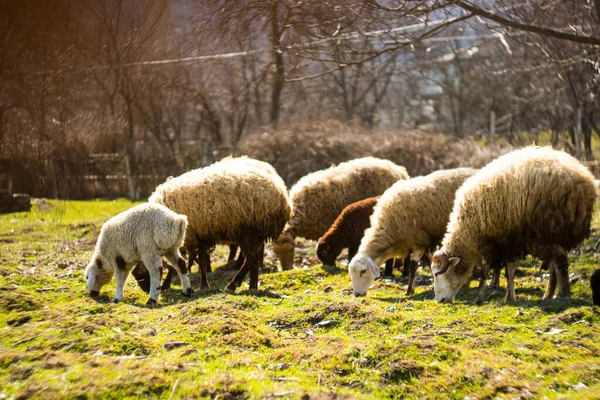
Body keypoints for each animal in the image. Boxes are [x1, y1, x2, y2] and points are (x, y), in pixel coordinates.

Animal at [149, 156, 292, 290]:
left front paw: (167, 284)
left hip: (249, 231)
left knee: (251, 259)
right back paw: (249, 286)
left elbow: (177, 264)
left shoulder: (187, 238)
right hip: (255, 234)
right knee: (252, 260)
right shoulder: (199, 236)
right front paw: (204, 284)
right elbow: (200, 260)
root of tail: (282, 197)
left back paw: (236, 285)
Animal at [346, 167, 478, 296]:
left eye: (363, 271)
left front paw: (410, 290)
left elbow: (413, 266)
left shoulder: (419, 241)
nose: (357, 294)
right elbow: (430, 262)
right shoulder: (426, 241)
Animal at [432, 147, 596, 304]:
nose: (440, 300)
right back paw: (548, 295)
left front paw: (478, 297)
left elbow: (486, 272)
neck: (466, 232)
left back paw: (562, 294)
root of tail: (583, 182)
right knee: (554, 265)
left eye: (436, 274)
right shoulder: (509, 241)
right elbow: (509, 270)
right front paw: (509, 297)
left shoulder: (492, 243)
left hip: (546, 230)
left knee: (559, 260)